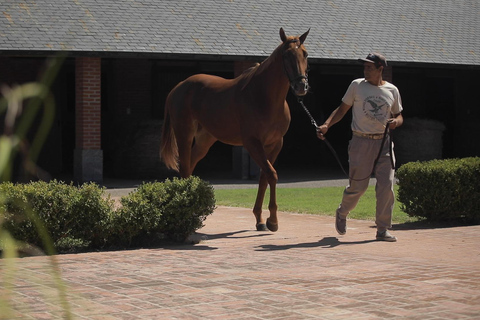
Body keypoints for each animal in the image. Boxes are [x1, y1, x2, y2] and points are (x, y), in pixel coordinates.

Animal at [161, 27, 310, 231]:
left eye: (305, 54)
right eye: (286, 55)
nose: (301, 86)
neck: (263, 97)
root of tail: (177, 88)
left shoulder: (275, 144)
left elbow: (264, 177)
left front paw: (260, 220)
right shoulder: (252, 143)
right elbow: (272, 174)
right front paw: (273, 221)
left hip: (205, 140)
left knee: (190, 166)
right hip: (184, 135)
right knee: (184, 168)